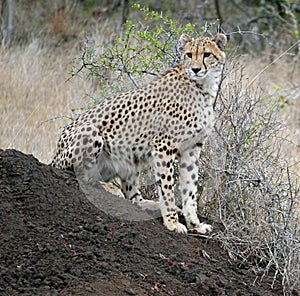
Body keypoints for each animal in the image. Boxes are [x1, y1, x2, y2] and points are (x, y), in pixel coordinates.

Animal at [52, 33, 227, 234]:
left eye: (207, 54)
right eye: (189, 55)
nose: (196, 69)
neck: (203, 86)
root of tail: (54, 157)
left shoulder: (192, 148)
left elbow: (190, 188)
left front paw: (195, 224)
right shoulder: (164, 144)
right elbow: (167, 186)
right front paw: (172, 223)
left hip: (128, 154)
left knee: (133, 196)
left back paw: (151, 205)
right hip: (91, 132)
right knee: (82, 176)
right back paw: (111, 189)